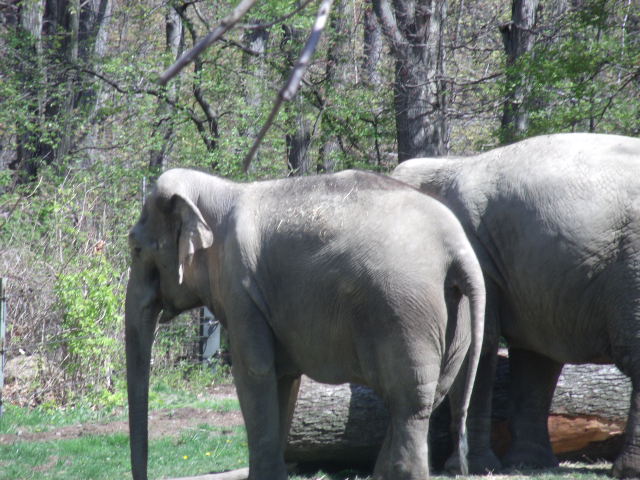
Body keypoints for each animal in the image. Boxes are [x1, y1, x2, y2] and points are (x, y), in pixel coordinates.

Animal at [125, 168, 485, 480]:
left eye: (136, 248)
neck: (219, 191)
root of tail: (460, 249)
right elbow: (282, 377)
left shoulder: (241, 291)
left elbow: (254, 372)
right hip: (455, 321)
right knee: (429, 396)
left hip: (405, 312)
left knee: (411, 403)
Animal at [391, 132, 640, 478]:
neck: (442, 165)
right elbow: (536, 359)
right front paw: (528, 464)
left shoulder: (473, 251)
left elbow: (479, 343)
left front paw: (471, 468)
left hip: (631, 267)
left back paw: (628, 470)